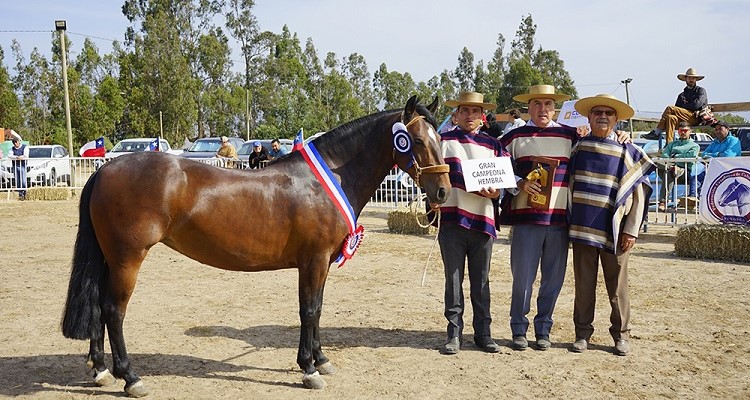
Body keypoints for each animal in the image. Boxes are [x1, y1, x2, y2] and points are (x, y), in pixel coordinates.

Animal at [61, 95, 450, 396]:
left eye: (439, 139)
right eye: (415, 141)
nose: (443, 191)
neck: (326, 180)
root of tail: (104, 170)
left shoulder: (322, 262)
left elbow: (318, 309)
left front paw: (321, 360)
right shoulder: (313, 260)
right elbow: (308, 310)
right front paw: (308, 370)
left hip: (110, 258)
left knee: (98, 305)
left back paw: (100, 369)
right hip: (128, 259)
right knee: (113, 310)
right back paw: (130, 377)